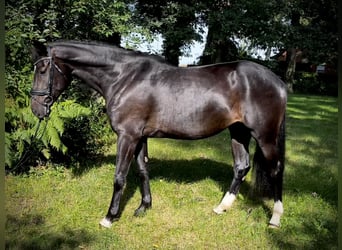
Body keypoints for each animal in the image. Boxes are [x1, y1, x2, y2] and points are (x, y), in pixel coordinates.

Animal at [30, 41, 286, 229]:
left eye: (43, 69)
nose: (36, 109)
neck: (123, 77)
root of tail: (278, 82)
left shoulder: (127, 136)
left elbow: (120, 177)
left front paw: (110, 217)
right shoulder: (140, 137)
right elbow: (143, 170)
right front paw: (144, 207)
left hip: (264, 136)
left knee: (276, 169)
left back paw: (275, 218)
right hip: (238, 131)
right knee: (241, 167)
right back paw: (222, 207)